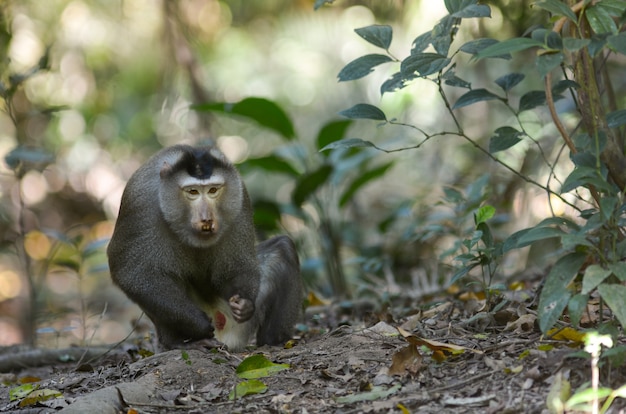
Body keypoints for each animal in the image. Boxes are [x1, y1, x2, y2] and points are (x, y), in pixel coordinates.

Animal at [106, 144, 302, 350]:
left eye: (213, 190)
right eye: (192, 192)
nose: (206, 218)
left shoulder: (239, 197)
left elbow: (239, 265)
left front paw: (245, 305)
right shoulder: (140, 203)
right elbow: (131, 273)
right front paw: (197, 324)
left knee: (283, 248)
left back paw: (274, 341)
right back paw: (181, 342)